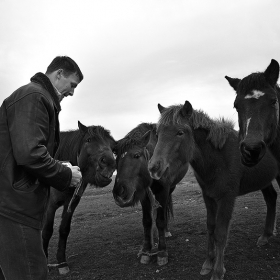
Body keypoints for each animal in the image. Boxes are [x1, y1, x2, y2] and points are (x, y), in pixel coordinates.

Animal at [41, 120, 116, 274]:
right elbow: (47, 231)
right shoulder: (50, 205)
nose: (109, 162)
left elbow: (64, 230)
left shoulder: (71, 203)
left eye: (112, 146)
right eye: (89, 140)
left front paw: (62, 262)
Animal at [112, 123, 188, 266]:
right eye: (116, 159)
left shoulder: (163, 191)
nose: (119, 192)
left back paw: (166, 232)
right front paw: (146, 251)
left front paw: (162, 252)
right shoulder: (144, 195)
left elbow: (160, 220)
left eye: (136, 155)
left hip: (170, 188)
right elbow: (147, 221)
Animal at [148, 101, 278, 280]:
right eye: (157, 133)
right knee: (271, 198)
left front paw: (218, 270)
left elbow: (221, 233)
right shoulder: (208, 196)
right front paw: (208, 263)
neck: (218, 157)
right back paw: (265, 236)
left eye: (180, 132)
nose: (154, 167)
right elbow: (211, 227)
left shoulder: (227, 198)